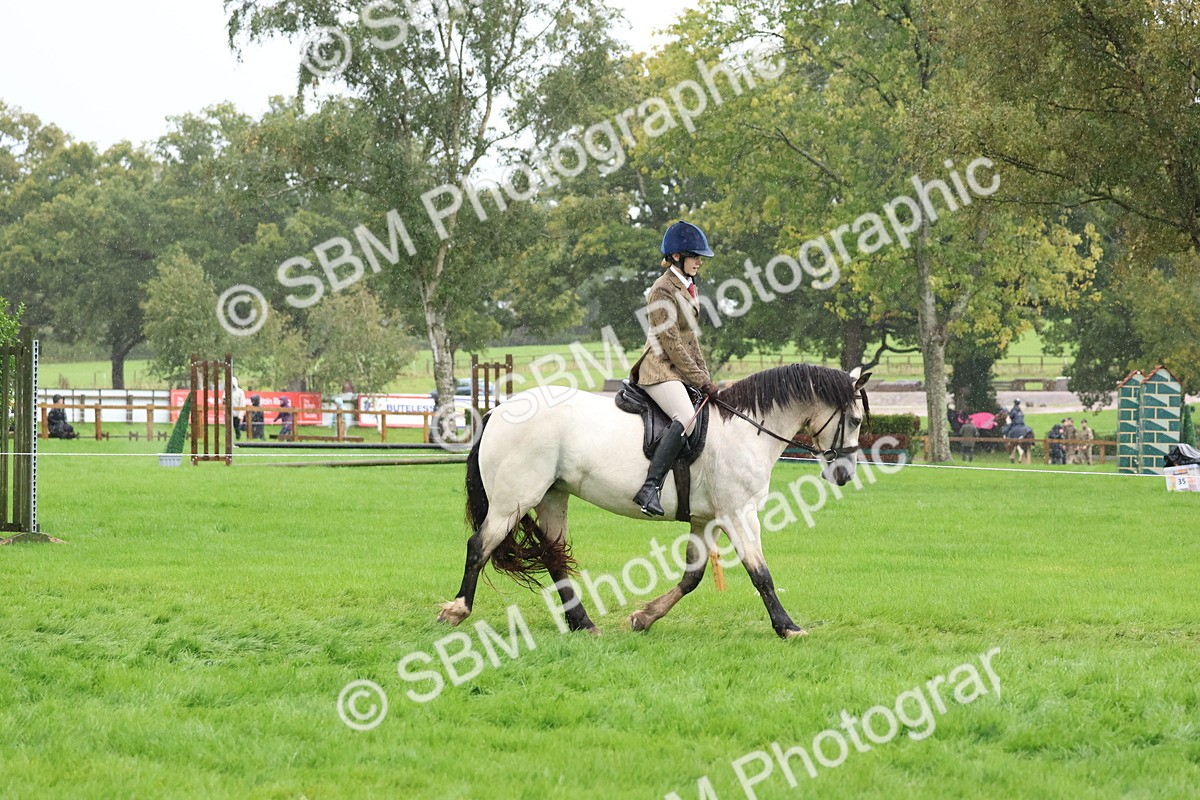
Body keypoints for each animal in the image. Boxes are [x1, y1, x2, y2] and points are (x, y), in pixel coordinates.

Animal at [437, 364, 871, 639]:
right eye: (856, 420)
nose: (844, 475)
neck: (746, 429)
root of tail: (498, 411)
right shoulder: (739, 513)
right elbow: (760, 572)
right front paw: (788, 627)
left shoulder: (707, 520)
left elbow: (692, 577)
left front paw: (644, 618)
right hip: (514, 498)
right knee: (479, 545)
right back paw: (456, 610)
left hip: (552, 497)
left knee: (553, 557)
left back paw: (583, 624)